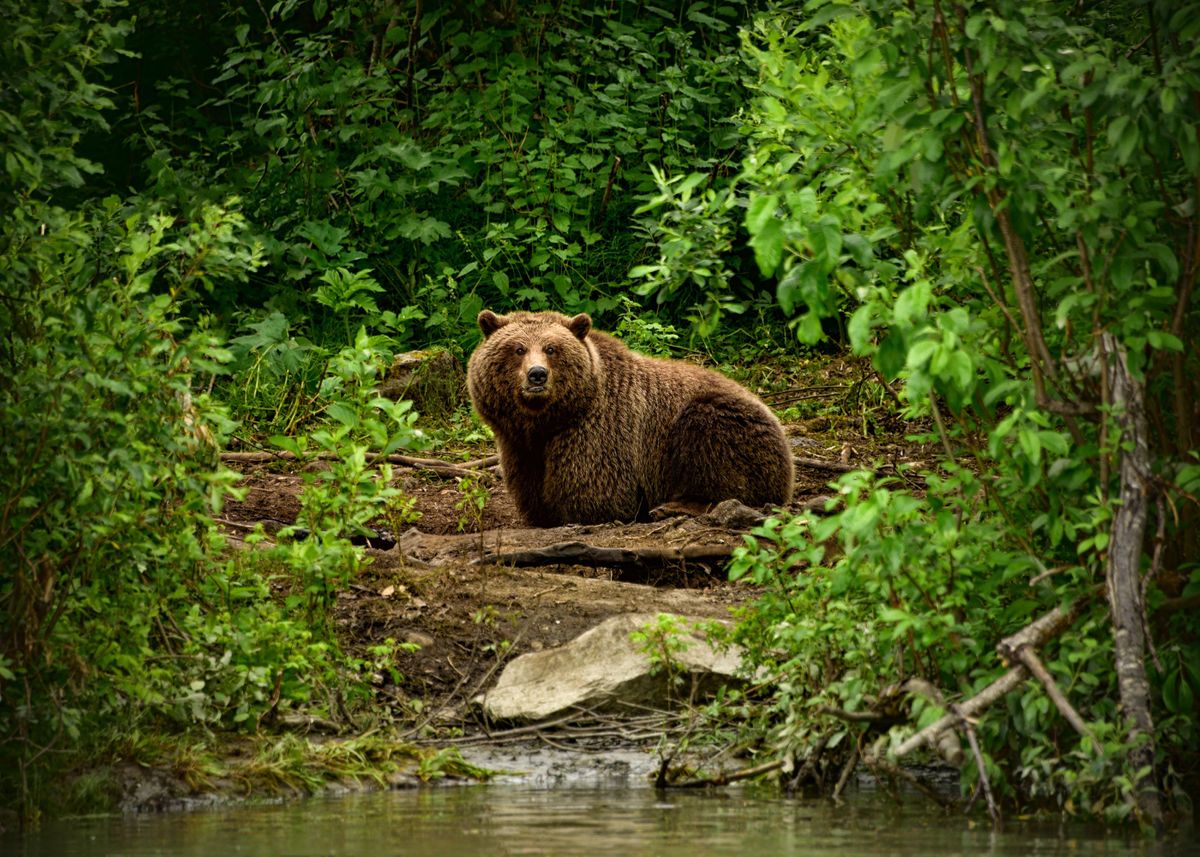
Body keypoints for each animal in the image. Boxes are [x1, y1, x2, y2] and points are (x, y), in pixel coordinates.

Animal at [463, 307, 792, 520]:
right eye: (518, 348)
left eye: (552, 348)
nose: (537, 375)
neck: (547, 420)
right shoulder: (518, 443)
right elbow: (530, 486)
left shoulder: (599, 431)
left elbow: (595, 490)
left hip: (724, 422)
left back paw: (674, 506)